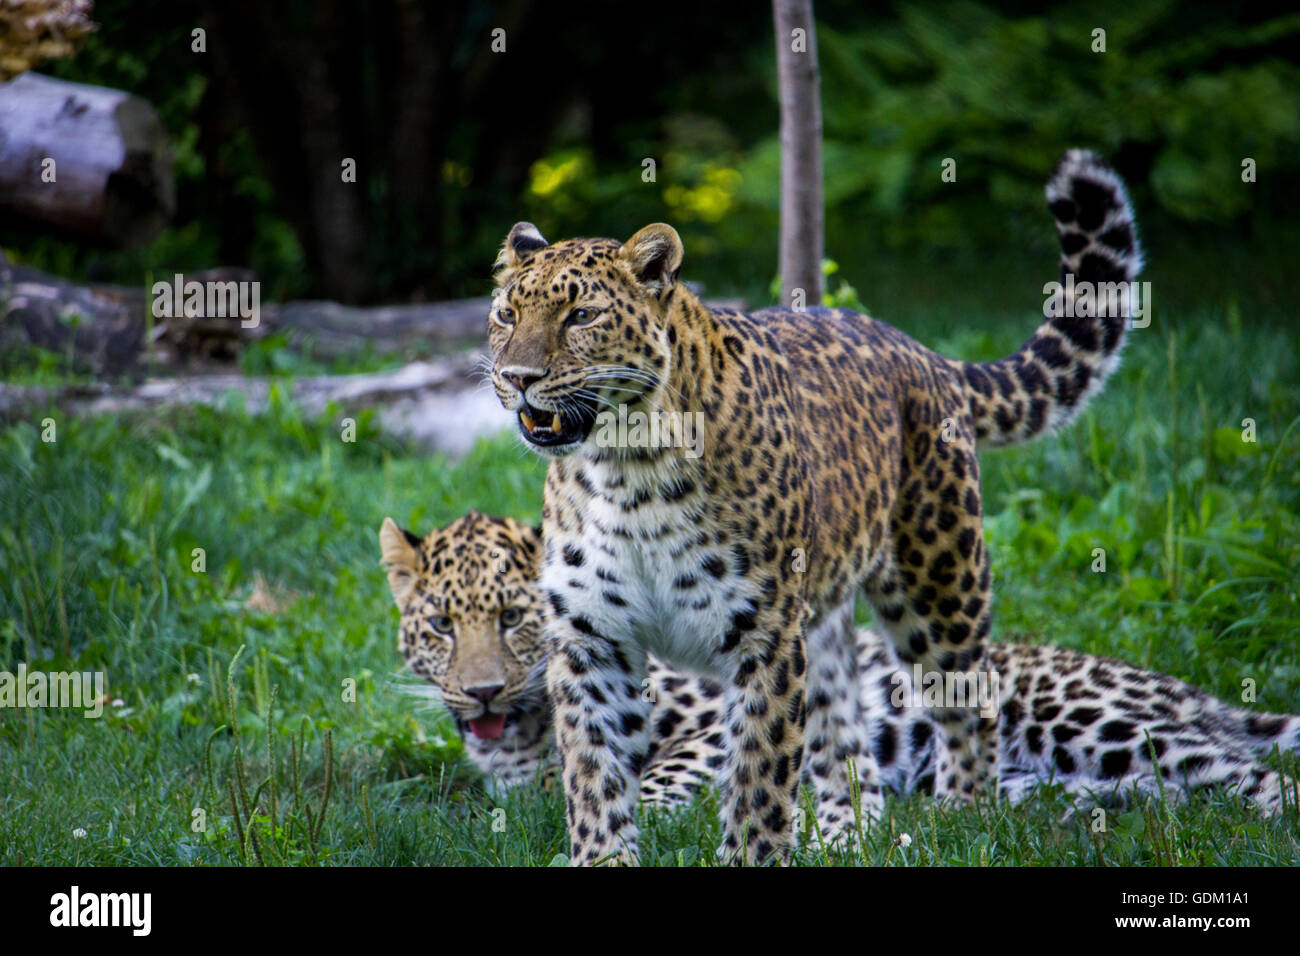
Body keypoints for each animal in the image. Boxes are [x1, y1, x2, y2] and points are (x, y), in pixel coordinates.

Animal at [379, 512, 1294, 832]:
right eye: (441, 627)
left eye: (513, 618)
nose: (482, 690)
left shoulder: (714, 714)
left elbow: (663, 776)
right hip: (1050, 775)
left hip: (1087, 719)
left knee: (1250, 774)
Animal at [486, 149, 1138, 868]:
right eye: (505, 315)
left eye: (581, 317)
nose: (517, 377)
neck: (626, 470)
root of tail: (923, 350)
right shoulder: (592, 638)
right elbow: (594, 776)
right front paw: (604, 856)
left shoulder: (764, 636)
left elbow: (758, 778)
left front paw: (751, 856)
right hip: (824, 621)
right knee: (846, 736)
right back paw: (849, 837)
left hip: (939, 583)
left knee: (973, 697)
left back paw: (964, 813)